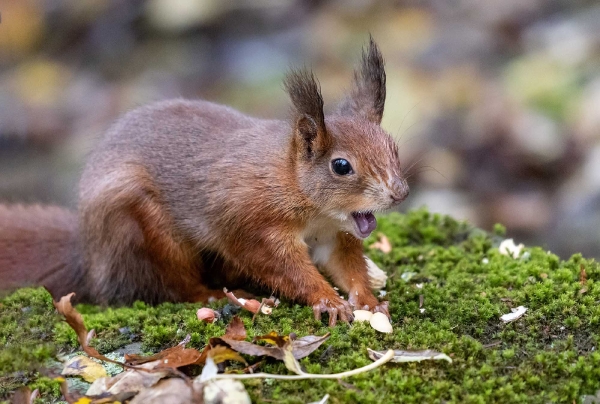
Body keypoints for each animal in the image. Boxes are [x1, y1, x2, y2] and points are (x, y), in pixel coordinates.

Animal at [0, 38, 408, 326]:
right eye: (341, 166)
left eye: (393, 147)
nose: (399, 192)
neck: (295, 187)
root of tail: (85, 254)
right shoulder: (252, 225)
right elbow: (282, 267)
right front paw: (327, 300)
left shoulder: (335, 234)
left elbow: (346, 265)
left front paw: (368, 301)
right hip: (140, 228)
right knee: (166, 287)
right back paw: (212, 296)